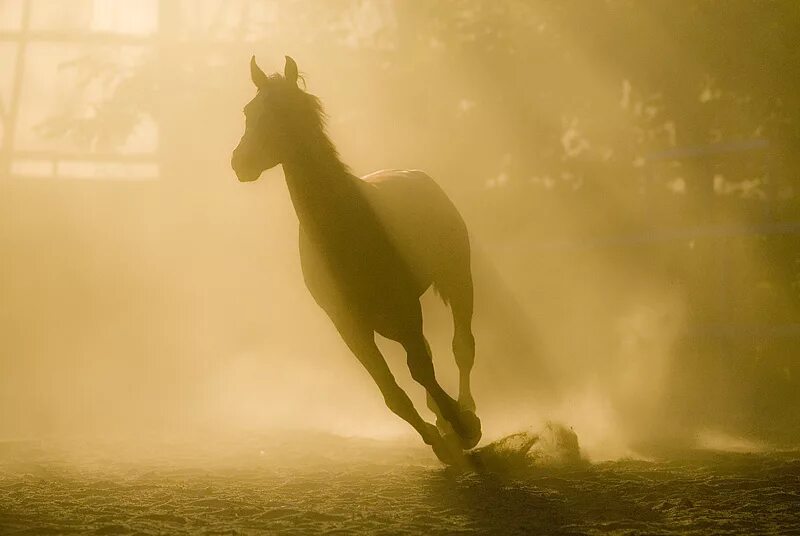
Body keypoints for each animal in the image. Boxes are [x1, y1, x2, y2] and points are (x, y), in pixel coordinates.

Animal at [230, 55, 482, 464]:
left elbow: (421, 371)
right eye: (250, 111)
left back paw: (466, 412)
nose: (241, 162)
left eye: (285, 113)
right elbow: (391, 391)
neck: (347, 227)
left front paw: (461, 428)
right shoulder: (348, 325)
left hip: (457, 279)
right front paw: (440, 440)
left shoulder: (404, 310)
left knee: (462, 348)